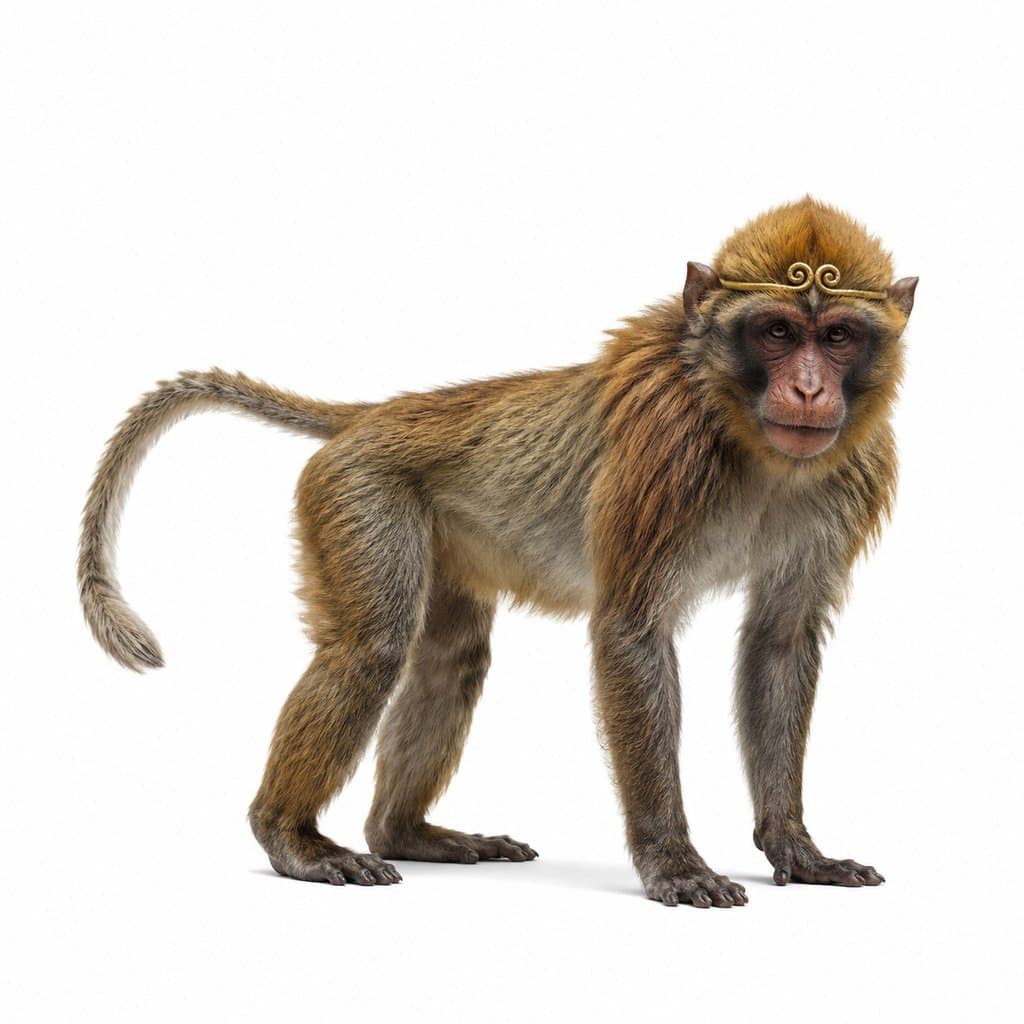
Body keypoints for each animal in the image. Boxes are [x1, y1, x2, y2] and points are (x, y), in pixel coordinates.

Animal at [79, 197, 917, 907]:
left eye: (837, 336)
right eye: (776, 332)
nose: (808, 392)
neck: (743, 431)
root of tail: (376, 414)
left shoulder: (849, 476)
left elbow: (780, 641)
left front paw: (794, 848)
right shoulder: (665, 455)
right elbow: (631, 632)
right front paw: (673, 862)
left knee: (449, 658)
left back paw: (403, 832)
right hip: (360, 492)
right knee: (370, 650)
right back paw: (290, 837)